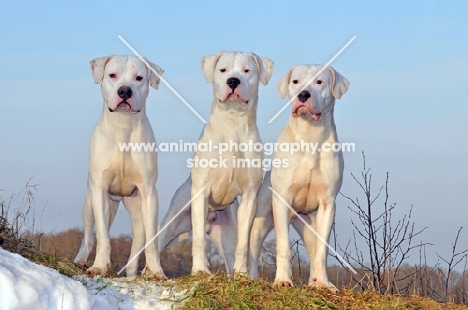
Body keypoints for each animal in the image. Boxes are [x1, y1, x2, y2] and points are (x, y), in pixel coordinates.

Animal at [73, 55, 166, 278]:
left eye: (139, 78)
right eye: (112, 75)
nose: (124, 91)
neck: (124, 125)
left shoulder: (149, 192)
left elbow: (151, 239)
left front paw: (155, 271)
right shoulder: (100, 189)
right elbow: (103, 236)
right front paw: (99, 266)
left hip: (136, 205)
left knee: (139, 236)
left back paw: (131, 272)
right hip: (91, 203)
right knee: (89, 235)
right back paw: (81, 261)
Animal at [158, 51, 274, 276]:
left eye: (247, 70)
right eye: (223, 69)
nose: (233, 81)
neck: (233, 122)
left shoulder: (250, 195)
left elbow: (243, 244)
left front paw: (242, 274)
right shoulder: (202, 191)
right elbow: (198, 241)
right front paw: (200, 271)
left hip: (227, 235)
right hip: (173, 219)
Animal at [250, 65, 350, 290]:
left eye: (319, 82)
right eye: (295, 81)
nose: (303, 95)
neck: (310, 135)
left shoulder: (327, 204)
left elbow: (322, 251)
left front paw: (323, 284)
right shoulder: (282, 201)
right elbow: (283, 246)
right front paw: (282, 280)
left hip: (310, 224)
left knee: (314, 249)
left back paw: (315, 281)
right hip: (261, 219)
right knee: (252, 248)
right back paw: (246, 276)